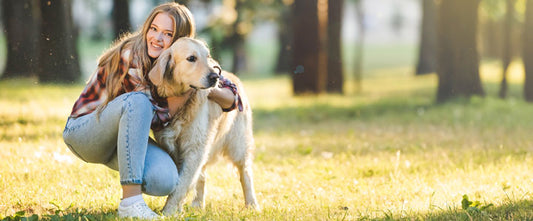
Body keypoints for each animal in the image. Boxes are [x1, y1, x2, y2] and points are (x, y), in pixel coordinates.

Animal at [148, 37, 260, 215]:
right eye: (191, 58)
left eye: (207, 56)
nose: (215, 76)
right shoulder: (175, 147)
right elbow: (183, 180)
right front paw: (177, 209)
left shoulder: (195, 149)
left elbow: (181, 183)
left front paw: (168, 211)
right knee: (202, 176)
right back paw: (198, 204)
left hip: (238, 145)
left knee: (245, 173)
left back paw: (252, 205)